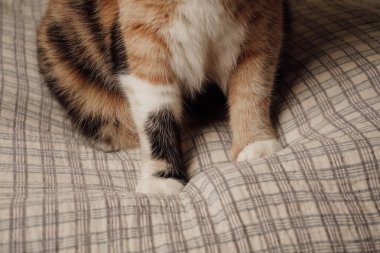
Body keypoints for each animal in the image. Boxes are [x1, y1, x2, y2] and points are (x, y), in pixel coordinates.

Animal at [37, 0, 284, 196]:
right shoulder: (142, 40)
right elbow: (155, 116)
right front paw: (161, 180)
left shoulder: (262, 24)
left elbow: (253, 85)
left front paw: (255, 144)